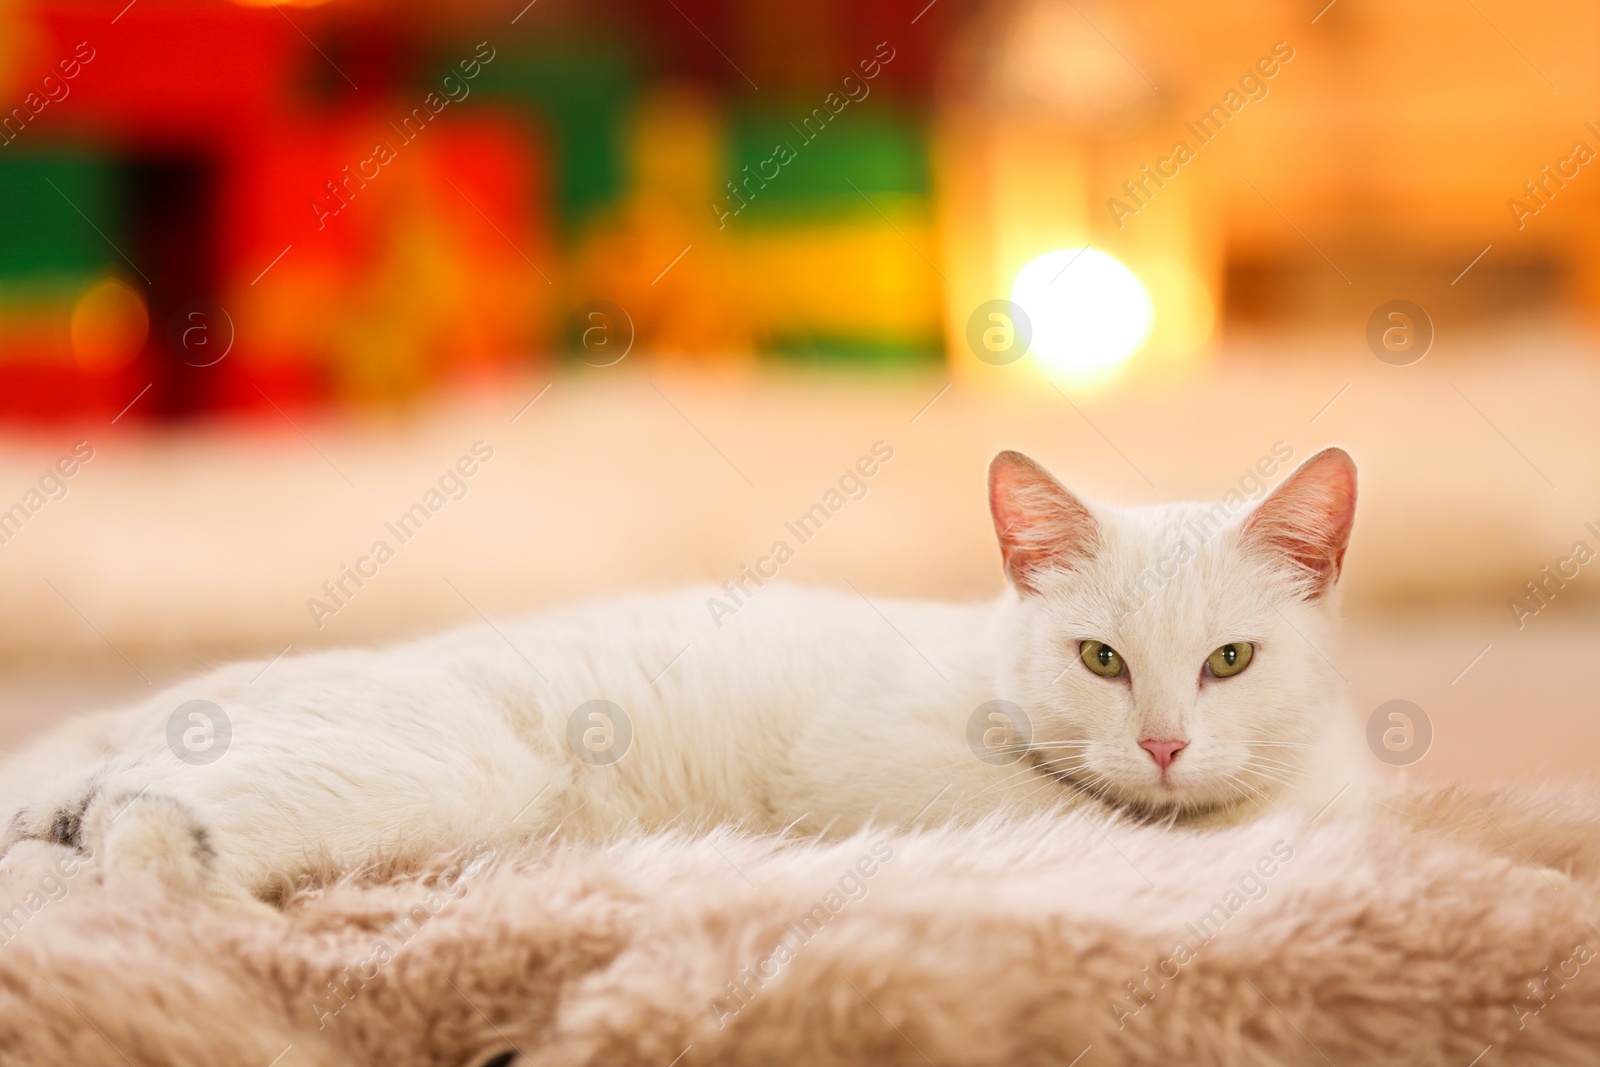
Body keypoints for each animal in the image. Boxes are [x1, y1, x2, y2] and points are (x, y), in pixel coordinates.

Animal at [0, 447, 1363, 908]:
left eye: (1228, 659)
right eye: (1100, 657)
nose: (1164, 742)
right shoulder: (880, 763)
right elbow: (1092, 826)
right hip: (444, 765)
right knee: (137, 825)